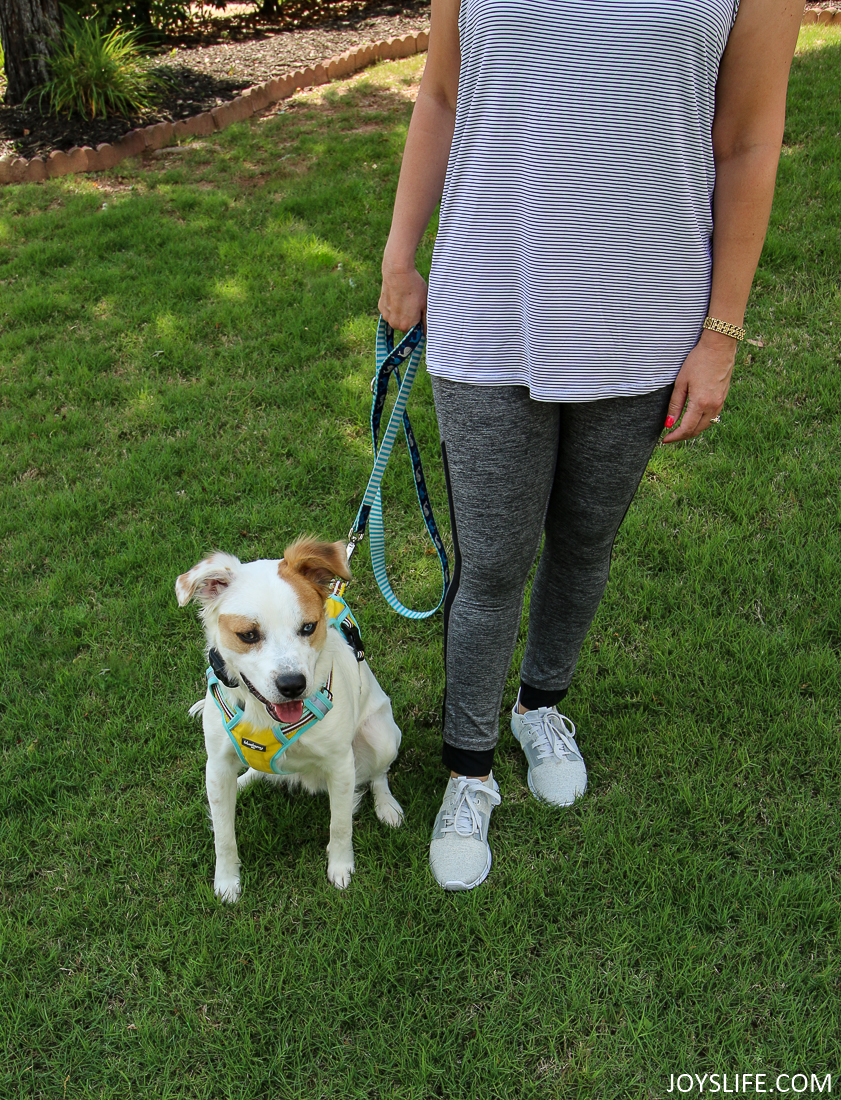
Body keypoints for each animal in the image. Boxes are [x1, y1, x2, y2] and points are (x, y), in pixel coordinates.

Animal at [173, 536, 404, 897]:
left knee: (378, 774)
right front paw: (226, 881)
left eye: (308, 627)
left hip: (381, 736)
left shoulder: (341, 764)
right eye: (248, 635)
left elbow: (340, 825)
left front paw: (340, 867)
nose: (293, 685)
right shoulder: (218, 766)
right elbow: (223, 836)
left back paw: (387, 806)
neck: (264, 716)